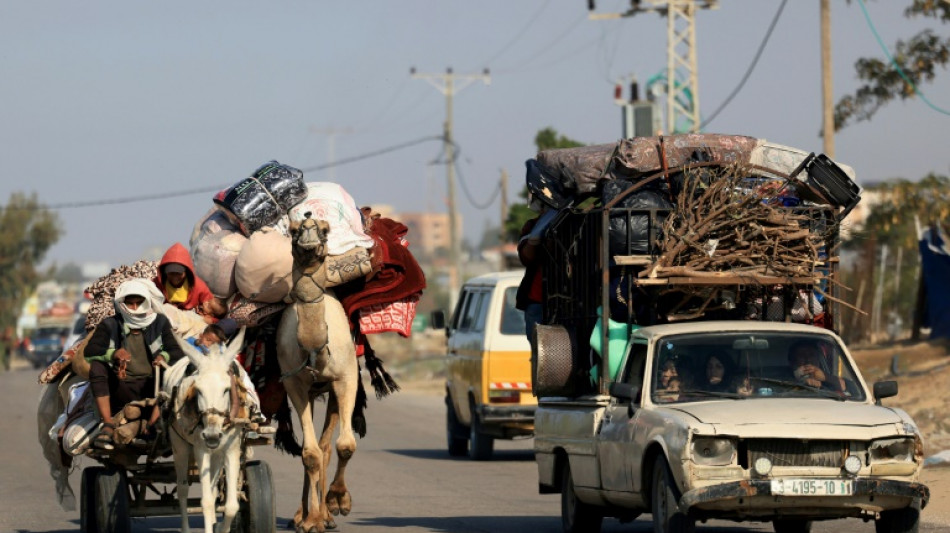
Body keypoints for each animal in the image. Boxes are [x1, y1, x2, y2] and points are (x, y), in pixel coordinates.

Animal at [280, 213, 362, 532]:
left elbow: (345, 445)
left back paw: (328, 513)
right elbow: (310, 453)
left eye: (325, 229)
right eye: (292, 231)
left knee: (328, 445)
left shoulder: (346, 378)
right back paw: (304, 514)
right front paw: (310, 519)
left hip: (332, 390)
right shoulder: (294, 384)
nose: (308, 234)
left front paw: (338, 501)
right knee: (314, 447)